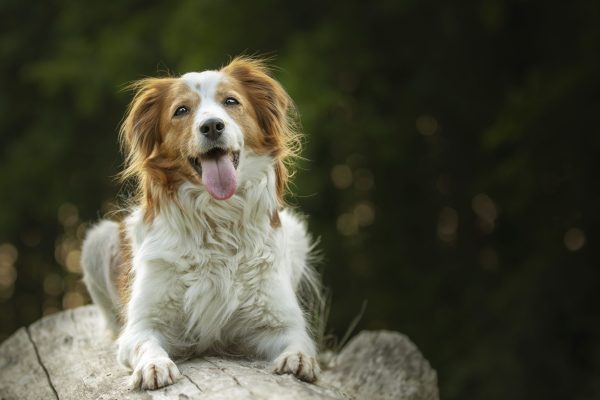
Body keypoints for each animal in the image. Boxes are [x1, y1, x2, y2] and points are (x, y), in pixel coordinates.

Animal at [81, 57, 324, 390]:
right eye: (181, 110)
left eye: (231, 101)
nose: (211, 126)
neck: (216, 220)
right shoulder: (142, 325)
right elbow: (146, 343)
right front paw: (154, 365)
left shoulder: (279, 320)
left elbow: (300, 341)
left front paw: (298, 360)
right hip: (96, 240)